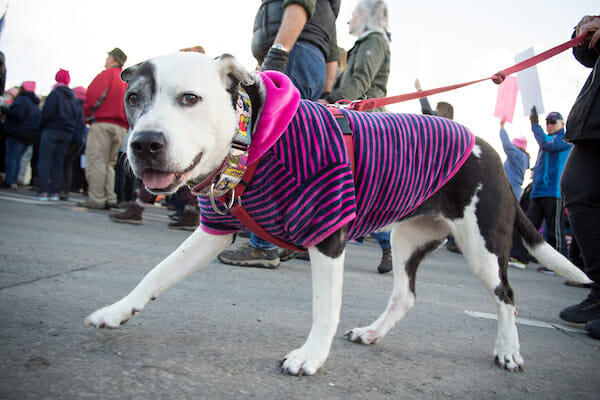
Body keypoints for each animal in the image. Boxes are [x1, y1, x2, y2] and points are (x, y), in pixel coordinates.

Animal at [84, 51, 592, 376]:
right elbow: (156, 273)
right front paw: (117, 311)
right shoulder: (215, 229)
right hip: (409, 237)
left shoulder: (326, 235)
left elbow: (324, 307)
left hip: (482, 244)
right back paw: (373, 332)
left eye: (190, 98)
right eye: (134, 98)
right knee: (405, 294)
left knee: (506, 295)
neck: (251, 141)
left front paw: (310, 357)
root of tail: (488, 146)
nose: (144, 144)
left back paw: (508, 350)